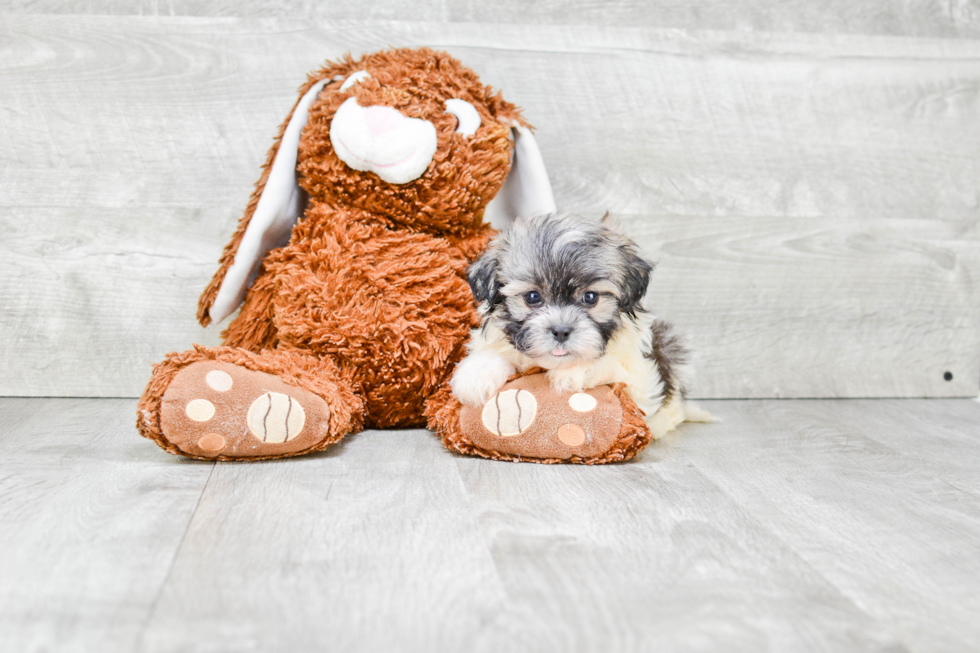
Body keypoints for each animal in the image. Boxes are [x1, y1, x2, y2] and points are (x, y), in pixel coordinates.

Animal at [452, 211, 704, 440]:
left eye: (590, 297)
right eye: (533, 297)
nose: (561, 331)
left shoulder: (643, 382)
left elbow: (616, 369)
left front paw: (576, 371)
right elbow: (493, 353)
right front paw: (475, 376)